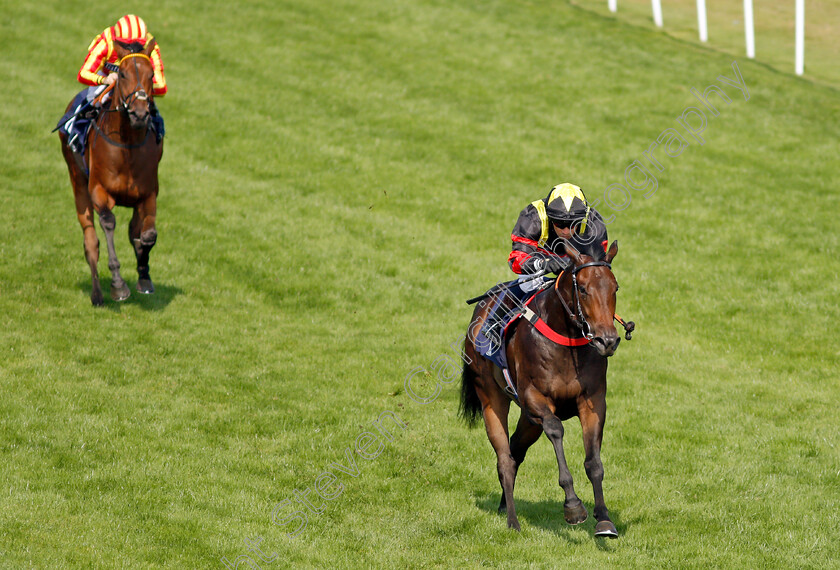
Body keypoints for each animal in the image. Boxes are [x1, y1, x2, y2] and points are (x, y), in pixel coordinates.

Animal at [58, 38, 163, 306]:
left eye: (151, 74)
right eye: (123, 74)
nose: (139, 114)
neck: (128, 147)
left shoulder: (148, 194)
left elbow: (147, 235)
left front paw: (144, 277)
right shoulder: (98, 190)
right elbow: (108, 223)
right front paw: (118, 285)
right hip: (78, 182)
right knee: (90, 242)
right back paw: (97, 294)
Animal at [462, 239, 628, 536]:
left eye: (615, 287)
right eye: (582, 288)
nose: (607, 341)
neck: (567, 341)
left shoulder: (593, 401)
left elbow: (594, 462)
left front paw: (604, 519)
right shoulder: (535, 399)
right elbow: (556, 428)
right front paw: (573, 506)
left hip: (529, 421)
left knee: (515, 450)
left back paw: (504, 506)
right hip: (492, 398)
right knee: (505, 458)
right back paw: (512, 521)